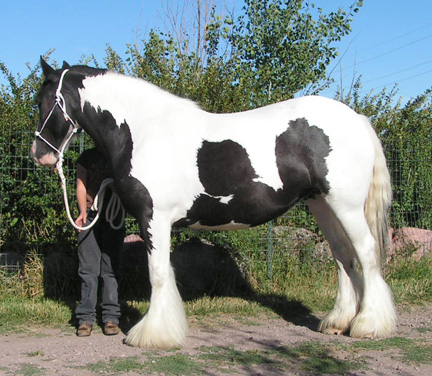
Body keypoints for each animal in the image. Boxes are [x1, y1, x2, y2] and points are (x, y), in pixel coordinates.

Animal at [30, 58, 396, 350]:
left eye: (45, 101)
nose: (40, 154)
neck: (143, 131)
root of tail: (358, 119)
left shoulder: (154, 219)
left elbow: (158, 274)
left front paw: (153, 335)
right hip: (322, 204)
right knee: (343, 256)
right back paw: (337, 323)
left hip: (345, 205)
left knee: (365, 252)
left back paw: (369, 325)